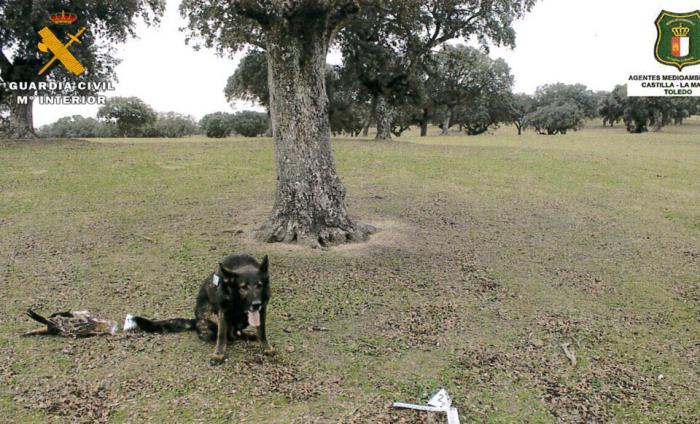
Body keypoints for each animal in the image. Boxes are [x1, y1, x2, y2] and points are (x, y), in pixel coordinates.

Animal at [124, 255, 272, 364]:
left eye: (259, 285)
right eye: (243, 287)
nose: (256, 304)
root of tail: (195, 321)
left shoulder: (262, 310)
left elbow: (262, 331)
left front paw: (266, 347)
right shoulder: (222, 312)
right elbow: (221, 336)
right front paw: (218, 355)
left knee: (235, 332)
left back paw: (247, 335)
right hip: (210, 314)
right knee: (227, 334)